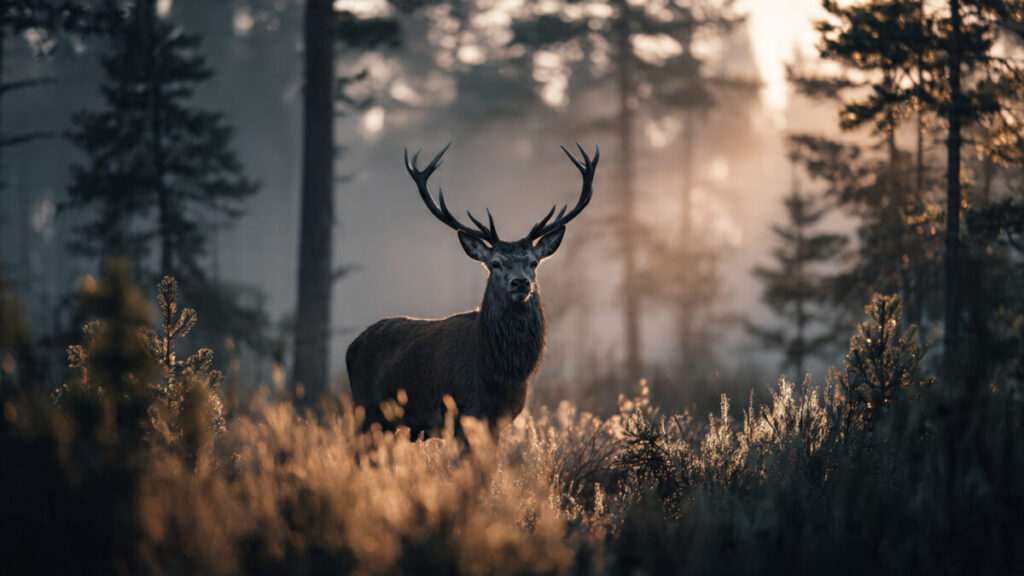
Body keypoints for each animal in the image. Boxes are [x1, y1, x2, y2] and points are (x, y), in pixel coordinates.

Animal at [346, 143, 599, 439]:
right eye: (495, 263)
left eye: (533, 262)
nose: (520, 282)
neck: (497, 374)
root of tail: (352, 346)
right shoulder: (459, 413)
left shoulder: (500, 420)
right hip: (365, 412)